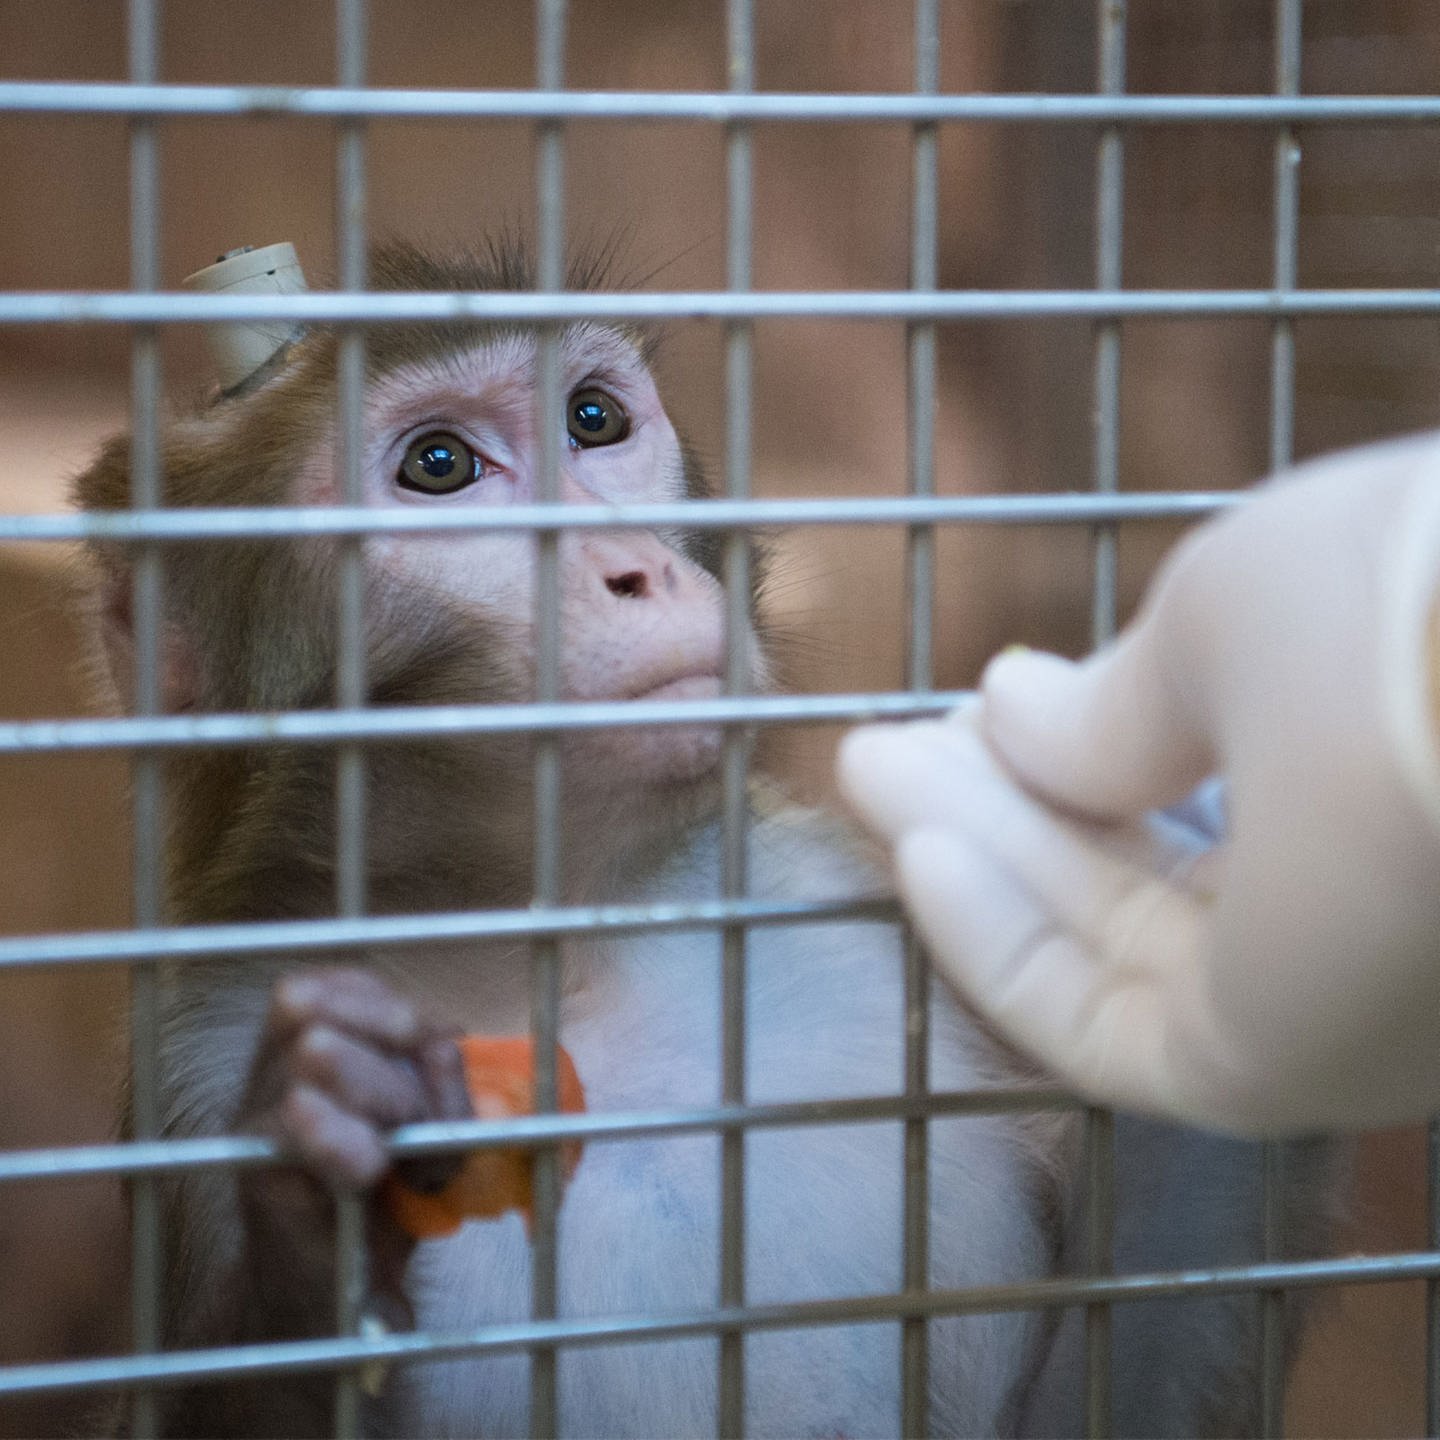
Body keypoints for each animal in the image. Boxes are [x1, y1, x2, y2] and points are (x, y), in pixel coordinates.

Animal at [75, 241, 1336, 1434]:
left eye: (593, 420)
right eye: (439, 467)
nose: (637, 570)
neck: (561, 941)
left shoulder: (820, 898)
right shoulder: (201, 1052)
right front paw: (319, 1191)